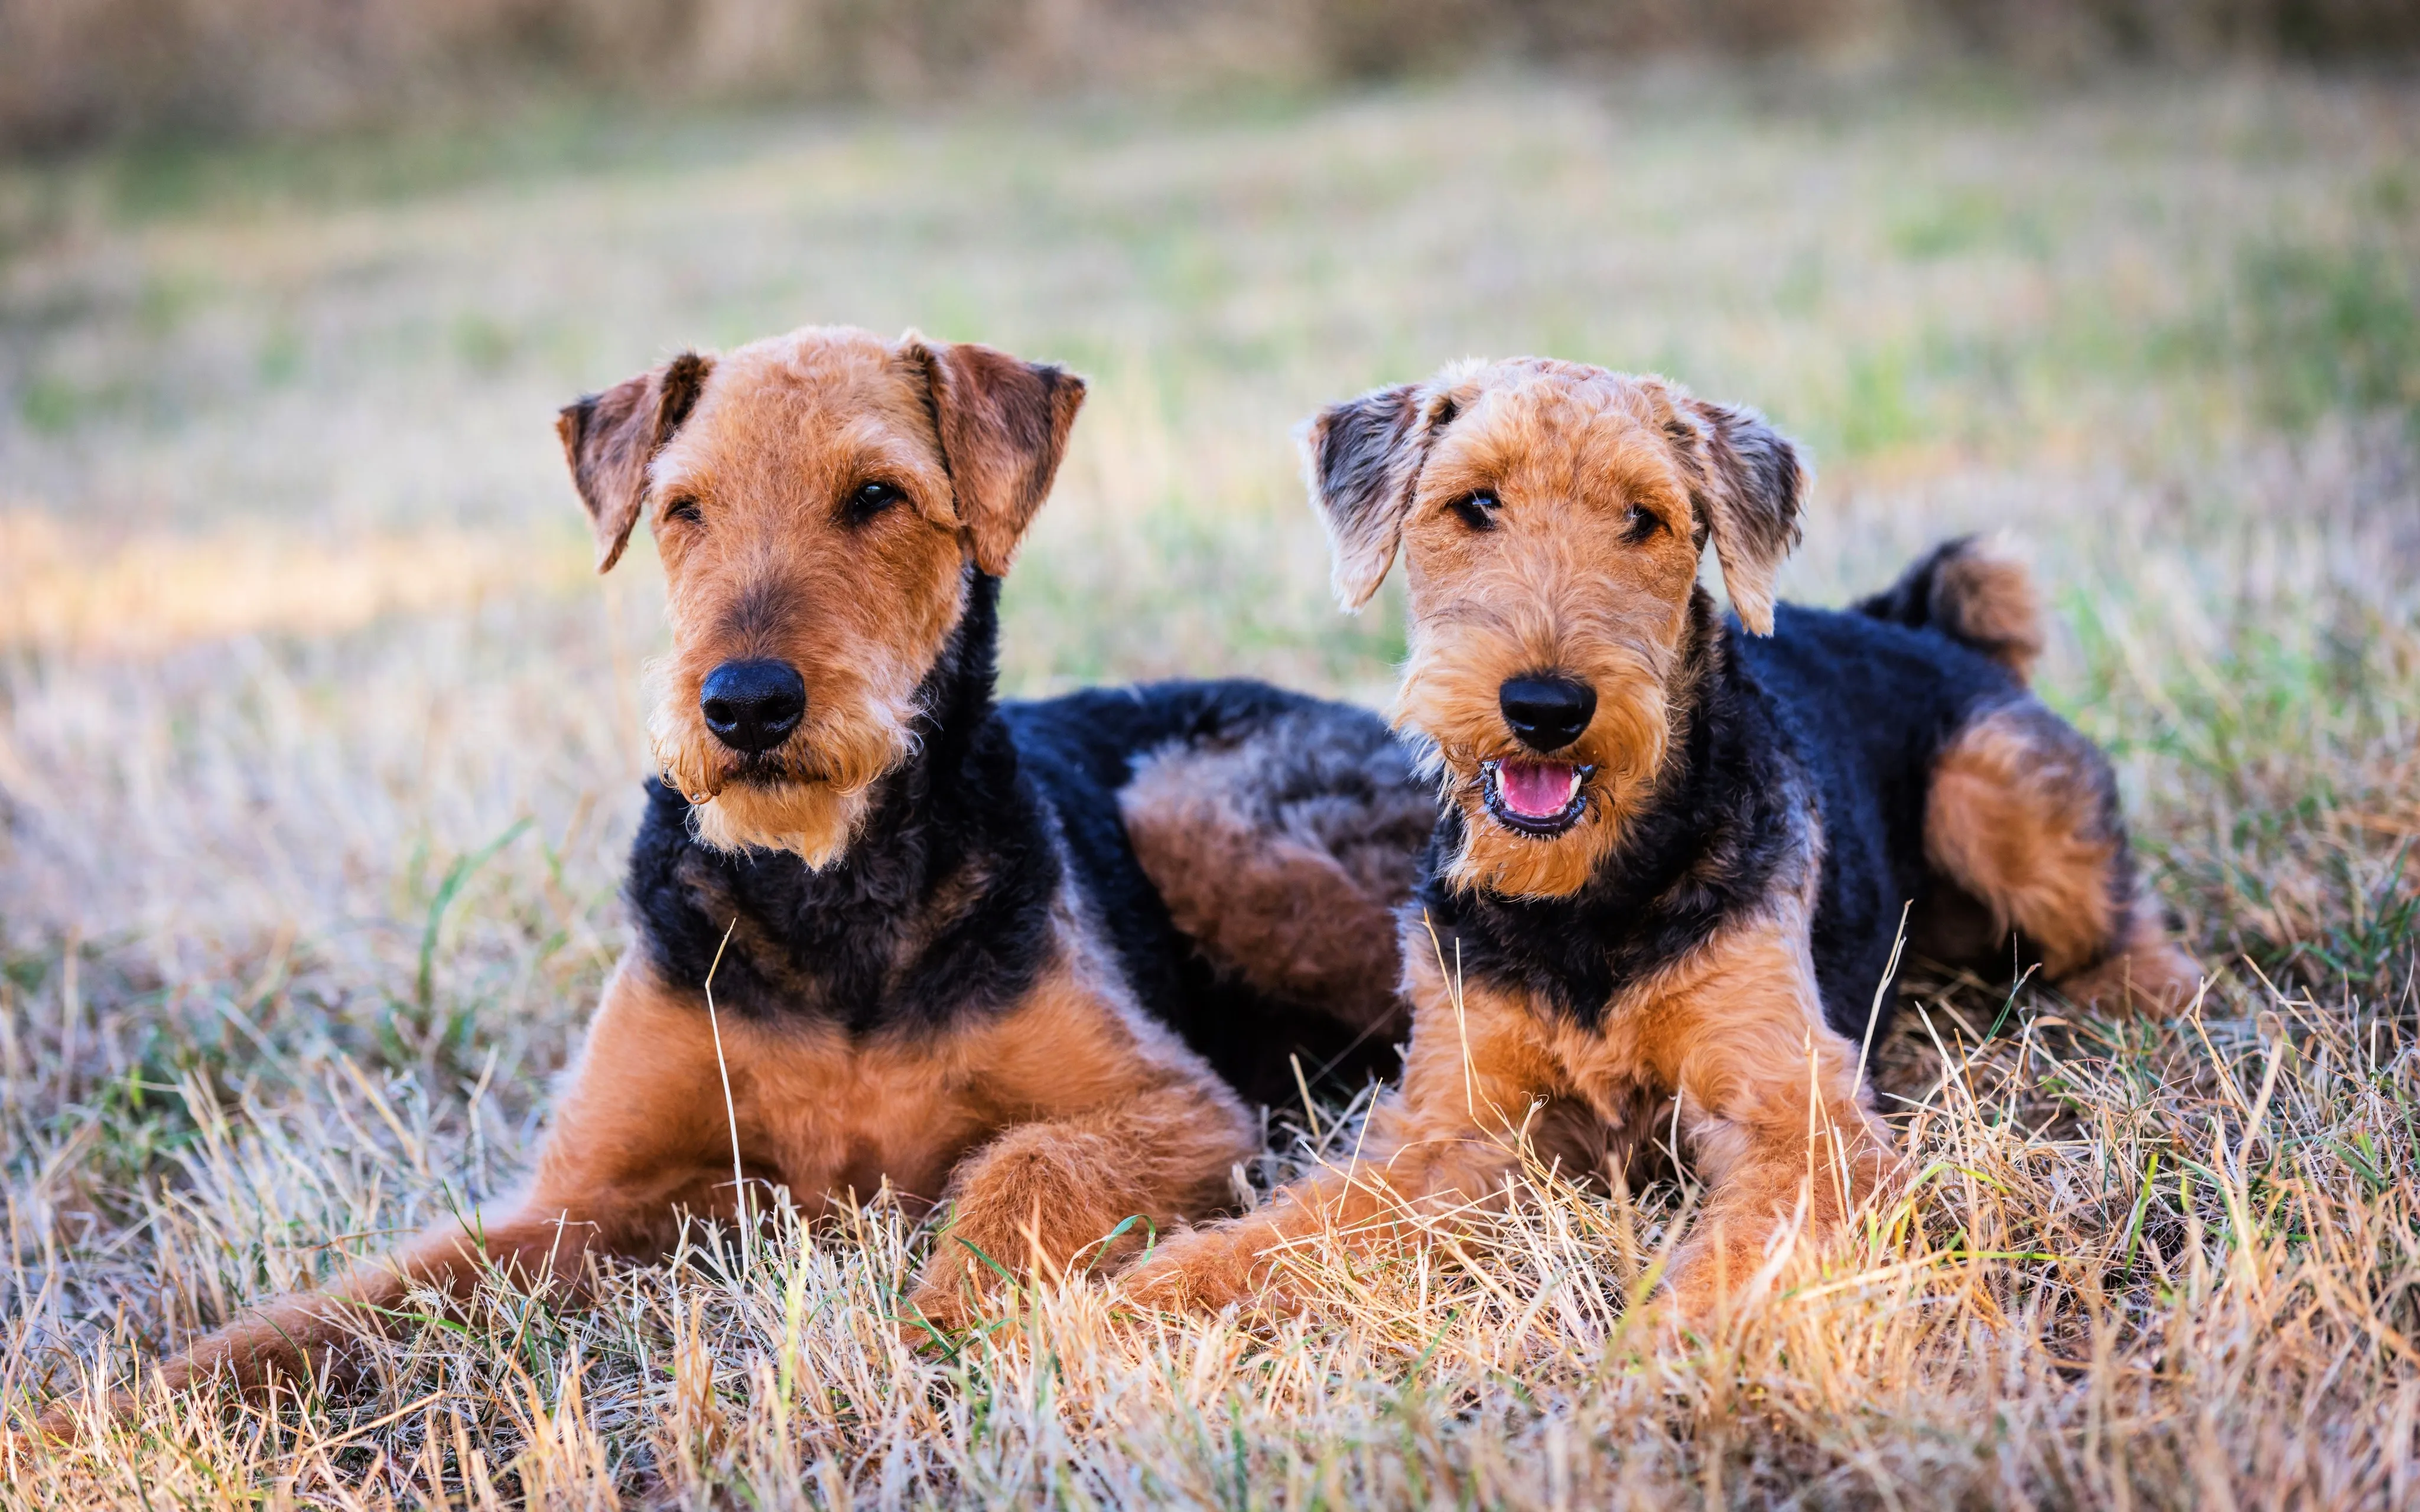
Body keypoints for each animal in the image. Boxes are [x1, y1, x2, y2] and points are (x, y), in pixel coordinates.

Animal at [33, 324, 1432, 1432]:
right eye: (681, 507)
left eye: (877, 495)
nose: (746, 705)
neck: (823, 892)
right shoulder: (588, 1188)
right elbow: (369, 1293)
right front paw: (117, 1411)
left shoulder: (1172, 1106)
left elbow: (1021, 1175)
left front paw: (931, 1342)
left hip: (1207, 821)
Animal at [1123, 356, 2207, 1316]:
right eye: (1474, 504)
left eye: (1644, 517)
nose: (1546, 707)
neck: (1588, 897)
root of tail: (1915, 625)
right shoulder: (1449, 1123)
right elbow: (1297, 1227)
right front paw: (1142, 1299)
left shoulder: (1795, 1113)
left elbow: (1743, 1259)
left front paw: (1672, 1357)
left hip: (1994, 793)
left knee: (2118, 922)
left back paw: (2157, 1006)